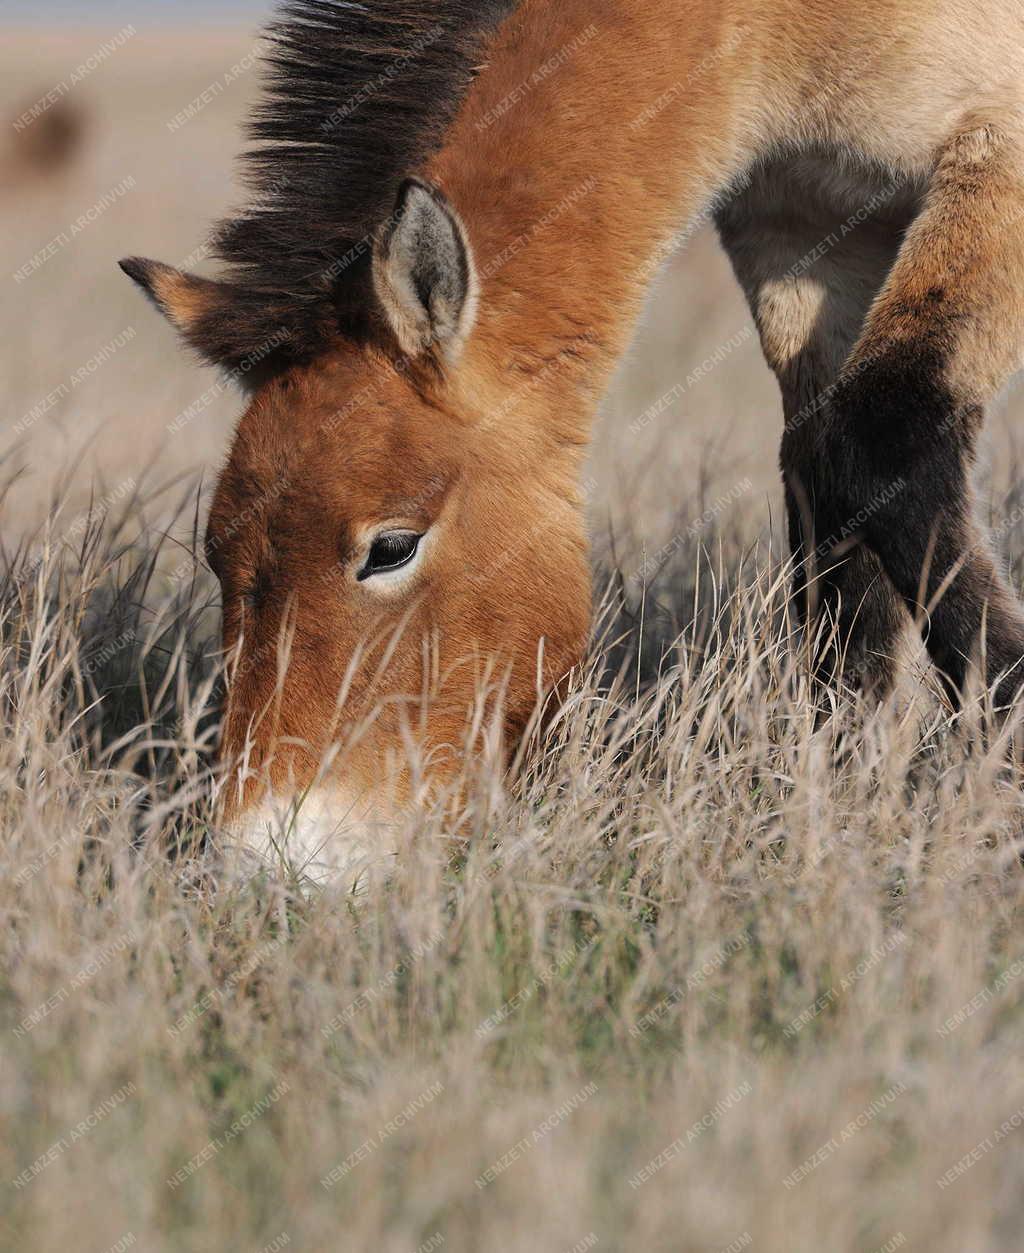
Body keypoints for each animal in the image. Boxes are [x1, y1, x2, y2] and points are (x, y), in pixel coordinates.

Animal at [124, 0, 1022, 882]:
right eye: (218, 554)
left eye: (390, 547)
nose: (264, 863)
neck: (759, 25)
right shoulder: (804, 223)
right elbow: (826, 482)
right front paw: (841, 789)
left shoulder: (994, 154)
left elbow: (878, 434)